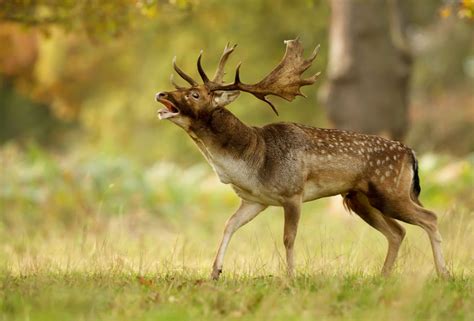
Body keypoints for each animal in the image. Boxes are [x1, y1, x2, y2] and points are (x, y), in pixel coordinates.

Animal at [155, 38, 448, 278]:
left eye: (195, 94)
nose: (161, 94)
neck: (253, 161)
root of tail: (411, 153)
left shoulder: (293, 192)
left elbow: (289, 238)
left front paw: (290, 277)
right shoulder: (255, 200)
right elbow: (229, 225)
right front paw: (215, 272)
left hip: (390, 191)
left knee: (430, 217)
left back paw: (443, 273)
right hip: (360, 198)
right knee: (397, 232)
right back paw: (384, 276)